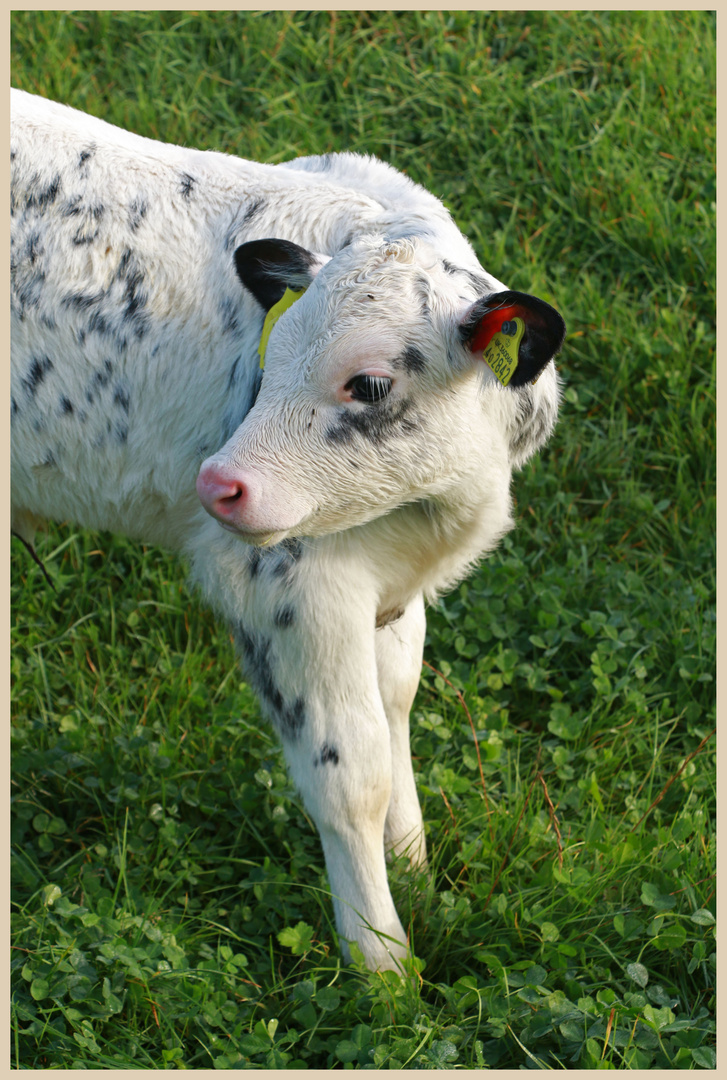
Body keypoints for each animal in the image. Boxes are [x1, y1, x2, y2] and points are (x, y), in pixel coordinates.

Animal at [12, 88, 566, 976]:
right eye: (271, 359)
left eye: (369, 383)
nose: (217, 483)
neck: (442, 508)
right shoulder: (289, 585)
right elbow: (349, 773)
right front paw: (380, 961)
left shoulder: (388, 588)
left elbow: (395, 700)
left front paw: (412, 863)